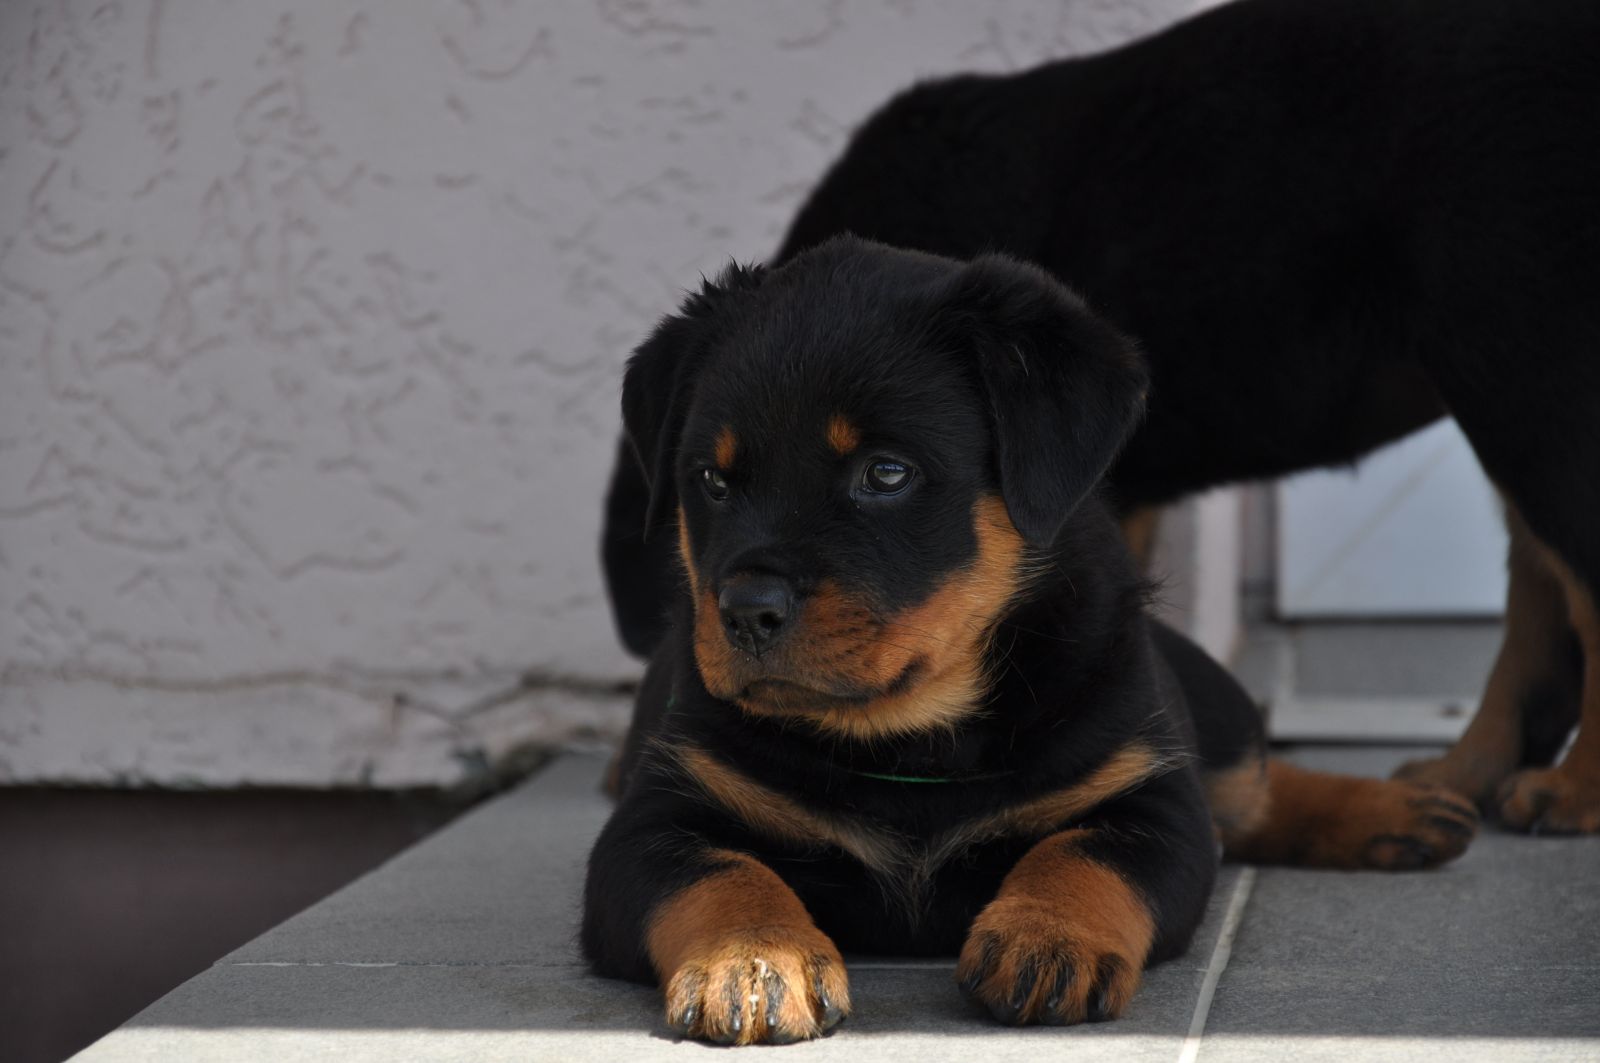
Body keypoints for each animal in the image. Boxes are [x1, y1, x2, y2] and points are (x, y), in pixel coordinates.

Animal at [582, 238, 1479, 1045]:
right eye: (710, 480)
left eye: (885, 473)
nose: (744, 609)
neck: (910, 743)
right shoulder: (655, 817)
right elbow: (720, 871)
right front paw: (753, 961)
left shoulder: (1149, 797)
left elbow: (1082, 852)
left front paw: (1048, 938)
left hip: (1199, 700)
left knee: (1250, 781)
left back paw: (1400, 807)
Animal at [601, 0, 1600, 834]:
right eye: (710, 485)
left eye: (884, 473)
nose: (741, 622)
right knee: (1541, 588)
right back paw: (1466, 772)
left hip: (1527, 360)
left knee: (1581, 578)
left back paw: (1573, 791)